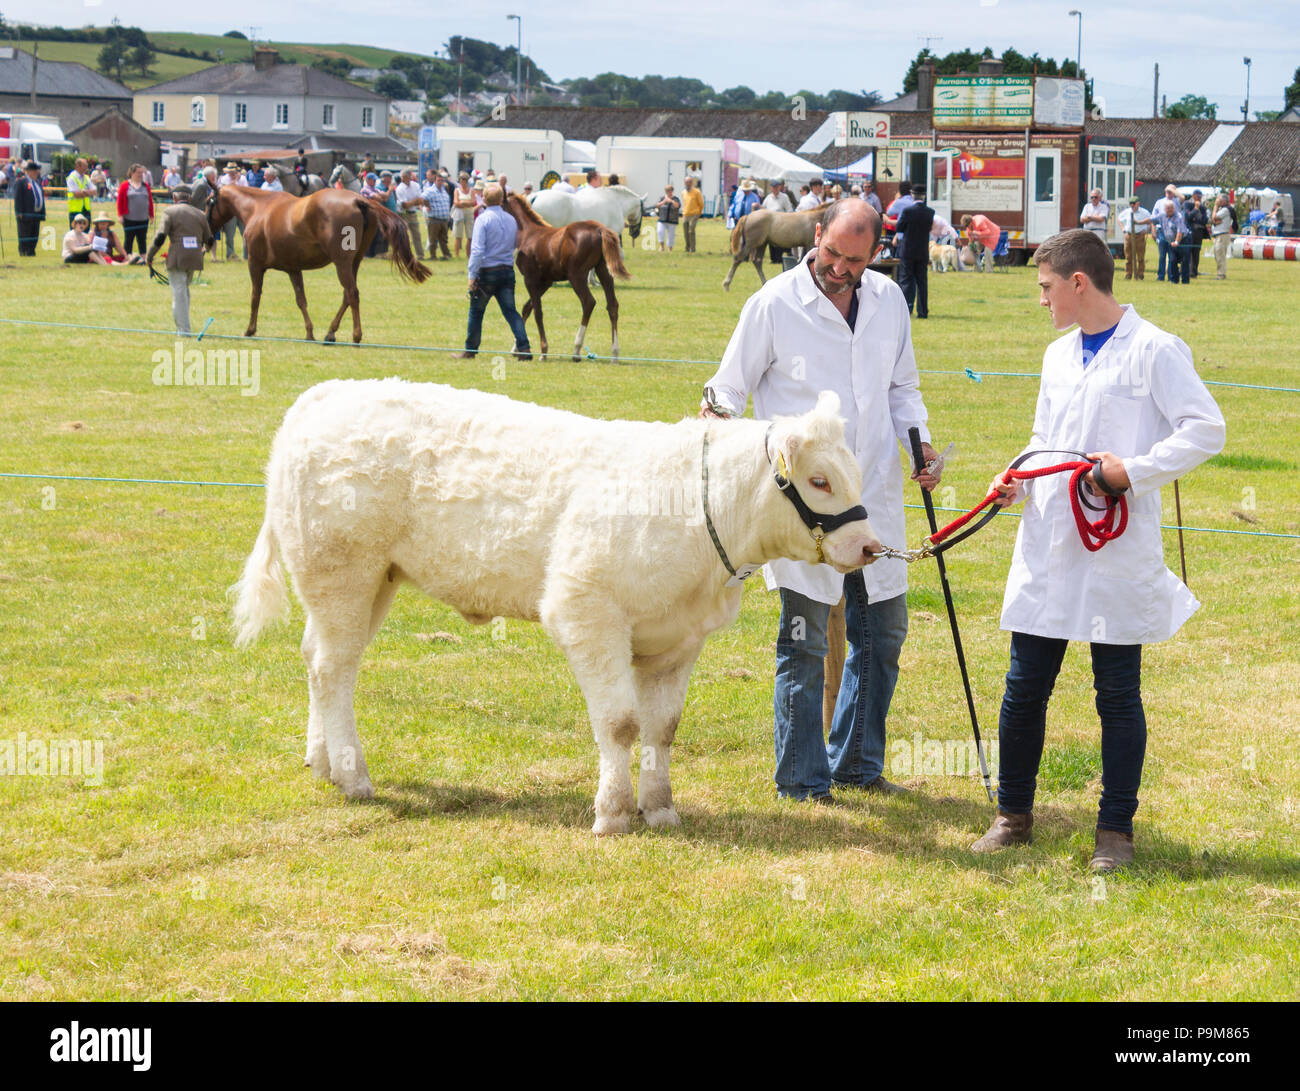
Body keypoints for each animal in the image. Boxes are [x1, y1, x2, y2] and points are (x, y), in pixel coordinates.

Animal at [208, 184, 428, 340]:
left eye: (209, 201)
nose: (209, 237)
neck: (259, 208)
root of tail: (359, 200)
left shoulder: (255, 265)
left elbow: (255, 297)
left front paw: (250, 329)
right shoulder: (293, 269)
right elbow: (301, 300)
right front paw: (309, 332)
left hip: (341, 263)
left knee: (352, 294)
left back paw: (356, 335)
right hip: (353, 263)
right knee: (347, 296)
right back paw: (330, 332)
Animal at [233, 379, 883, 832]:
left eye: (855, 473)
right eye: (819, 480)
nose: (868, 546)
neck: (696, 510)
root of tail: (326, 395)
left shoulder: (679, 639)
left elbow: (662, 727)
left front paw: (661, 808)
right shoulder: (585, 611)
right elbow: (619, 723)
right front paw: (613, 813)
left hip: (372, 583)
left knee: (318, 659)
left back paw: (322, 761)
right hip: (343, 574)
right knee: (333, 668)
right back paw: (353, 774)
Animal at [501, 195, 629, 361]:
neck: (529, 234)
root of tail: (599, 229)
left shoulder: (530, 279)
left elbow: (537, 312)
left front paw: (543, 351)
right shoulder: (546, 281)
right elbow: (527, 308)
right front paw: (516, 348)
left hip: (576, 276)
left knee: (588, 302)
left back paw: (576, 350)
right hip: (603, 271)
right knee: (612, 305)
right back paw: (615, 353)